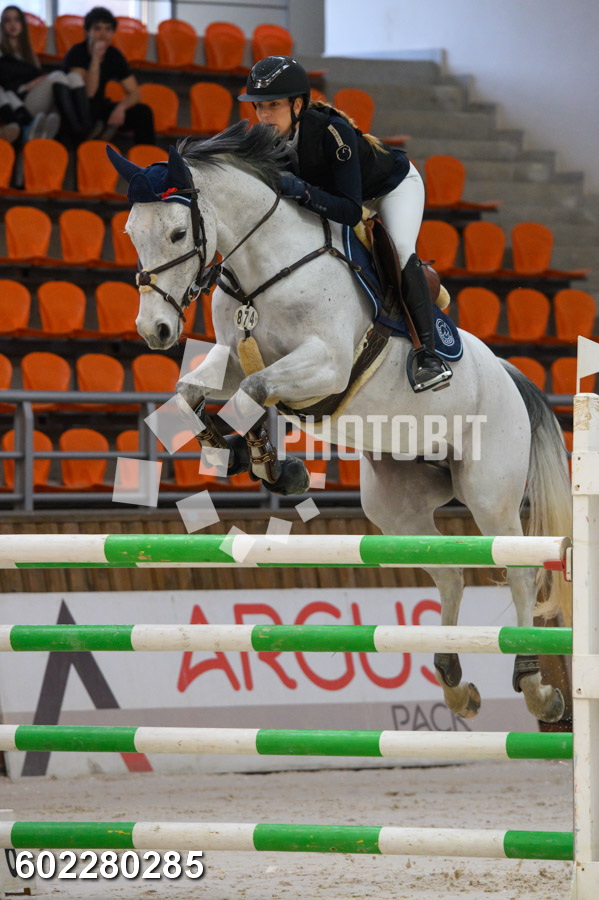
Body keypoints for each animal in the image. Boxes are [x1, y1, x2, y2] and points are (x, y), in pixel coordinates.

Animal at [107, 122, 572, 724]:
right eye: (131, 231)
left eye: (179, 231)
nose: (156, 330)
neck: (266, 270)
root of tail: (511, 375)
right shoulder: (234, 361)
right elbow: (194, 395)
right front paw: (248, 458)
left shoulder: (324, 364)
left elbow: (257, 393)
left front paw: (272, 466)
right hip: (396, 503)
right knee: (449, 571)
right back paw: (453, 681)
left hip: (488, 492)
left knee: (517, 570)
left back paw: (536, 686)